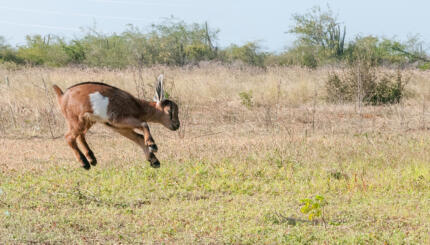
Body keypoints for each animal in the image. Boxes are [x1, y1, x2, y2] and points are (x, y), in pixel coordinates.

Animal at [52, 74, 180, 169]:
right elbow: (144, 124)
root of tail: (62, 96)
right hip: (76, 120)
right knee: (69, 137)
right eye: (170, 111)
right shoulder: (120, 119)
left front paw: (154, 161)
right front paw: (152, 145)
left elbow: (139, 138)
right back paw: (84, 163)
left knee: (80, 136)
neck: (137, 106)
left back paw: (92, 158)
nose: (177, 125)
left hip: (87, 121)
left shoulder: (119, 128)